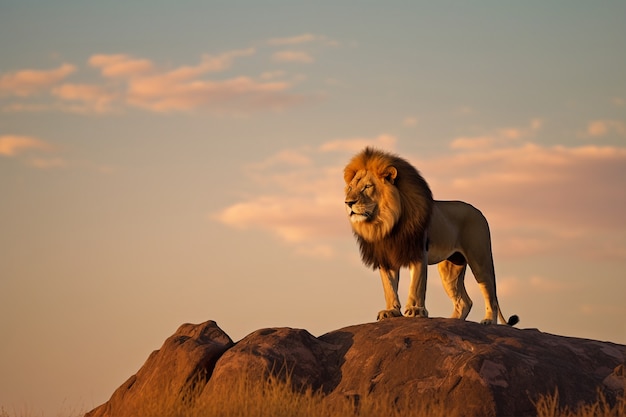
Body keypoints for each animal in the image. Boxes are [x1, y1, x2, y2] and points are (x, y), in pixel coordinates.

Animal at [342, 146, 516, 324]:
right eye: (350, 188)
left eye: (367, 187)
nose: (348, 203)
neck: (385, 222)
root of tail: (478, 211)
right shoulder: (385, 256)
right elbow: (389, 287)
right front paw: (391, 311)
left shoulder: (418, 250)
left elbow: (417, 284)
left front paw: (415, 310)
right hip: (450, 269)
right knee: (465, 302)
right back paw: (451, 321)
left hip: (480, 259)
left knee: (490, 295)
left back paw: (488, 321)